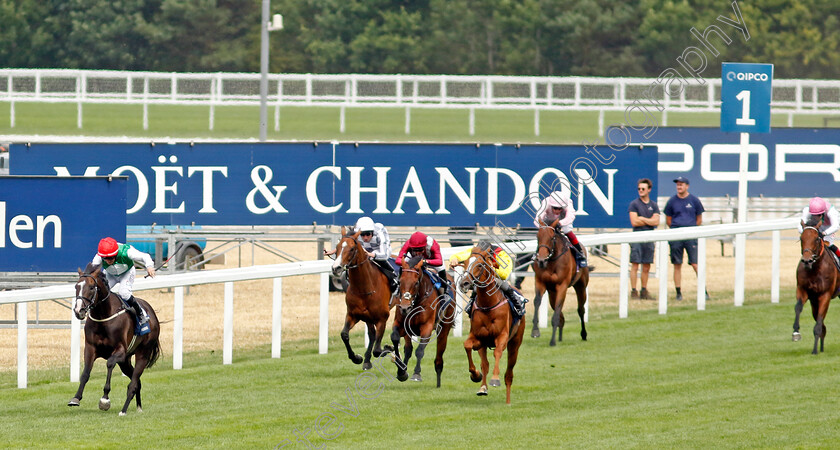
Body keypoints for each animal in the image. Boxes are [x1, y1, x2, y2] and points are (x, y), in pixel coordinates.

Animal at [69, 264, 161, 414]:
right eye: (76, 286)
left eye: (91, 287)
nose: (79, 311)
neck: (103, 316)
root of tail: (152, 313)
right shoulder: (90, 348)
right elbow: (86, 372)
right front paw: (76, 398)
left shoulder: (120, 351)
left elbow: (110, 363)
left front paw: (105, 399)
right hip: (125, 362)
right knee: (137, 382)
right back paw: (138, 407)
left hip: (143, 354)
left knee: (133, 383)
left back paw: (123, 410)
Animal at [332, 227, 394, 370]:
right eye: (337, 247)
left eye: (351, 249)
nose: (336, 268)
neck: (364, 289)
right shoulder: (353, 314)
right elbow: (344, 335)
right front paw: (357, 358)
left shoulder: (382, 318)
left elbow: (378, 350)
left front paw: (389, 347)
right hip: (367, 317)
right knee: (371, 334)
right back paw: (366, 360)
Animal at [388, 255, 456, 384]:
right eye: (400, 281)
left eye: (416, 283)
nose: (404, 308)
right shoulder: (401, 324)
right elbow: (395, 338)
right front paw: (401, 371)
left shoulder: (427, 327)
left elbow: (419, 350)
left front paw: (416, 373)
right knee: (408, 349)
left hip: (444, 327)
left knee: (440, 348)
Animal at [460, 246, 524, 404]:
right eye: (465, 263)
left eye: (480, 265)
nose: (464, 283)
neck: (488, 304)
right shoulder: (479, 336)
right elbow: (468, 345)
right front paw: (475, 375)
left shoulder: (502, 336)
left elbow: (498, 352)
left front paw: (495, 379)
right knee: (485, 364)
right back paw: (482, 388)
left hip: (515, 344)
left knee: (509, 374)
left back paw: (508, 401)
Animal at [796, 223, 840, 354]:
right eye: (801, 238)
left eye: (816, 238)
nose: (807, 260)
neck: (814, 269)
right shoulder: (804, 291)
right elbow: (798, 308)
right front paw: (796, 332)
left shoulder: (825, 295)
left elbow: (819, 321)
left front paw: (815, 350)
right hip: (814, 302)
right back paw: (822, 347)